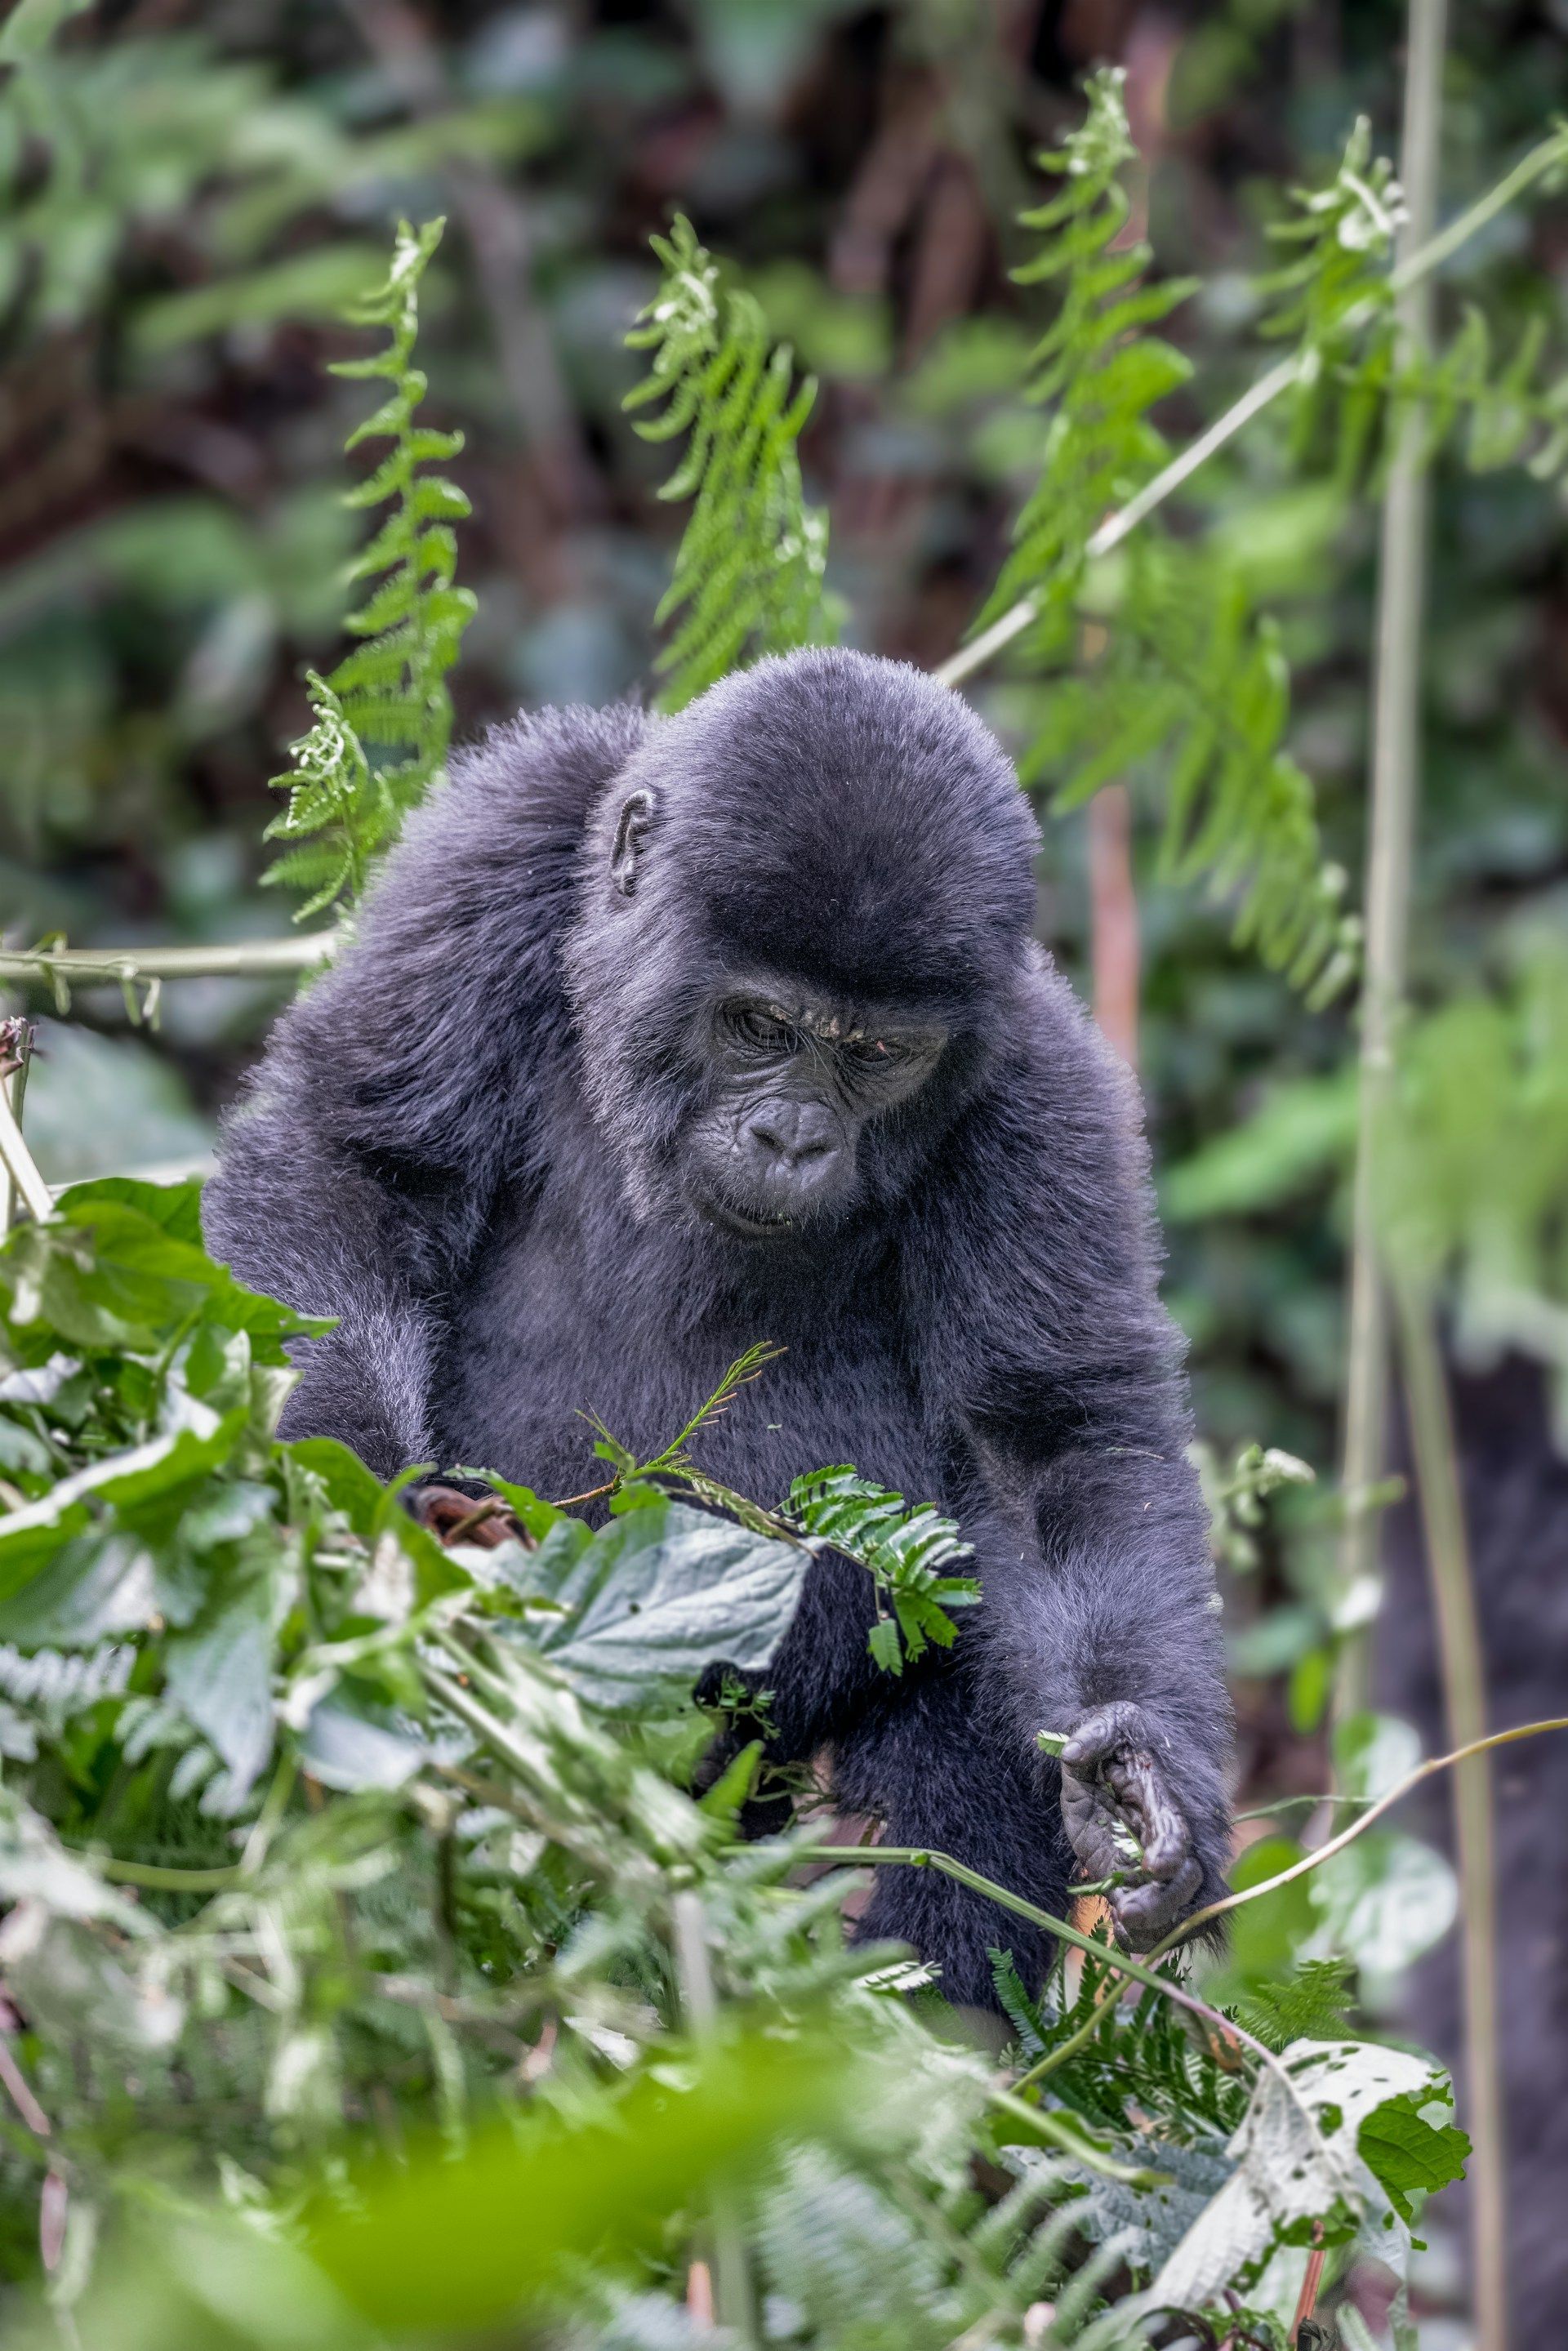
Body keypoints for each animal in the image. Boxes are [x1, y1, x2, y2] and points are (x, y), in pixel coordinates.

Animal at [204, 647, 1232, 2007]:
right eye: (757, 1025)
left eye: (877, 1054)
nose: (790, 1137)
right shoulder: (503, 837)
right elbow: (360, 1162)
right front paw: (355, 1486)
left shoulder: (1038, 1080)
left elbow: (1049, 1440)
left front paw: (1140, 1768)